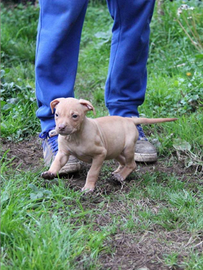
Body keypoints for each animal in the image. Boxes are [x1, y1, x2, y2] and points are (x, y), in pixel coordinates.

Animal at [40, 97, 176, 192]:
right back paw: (118, 172)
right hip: (114, 150)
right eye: (56, 115)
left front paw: (88, 188)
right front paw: (50, 173)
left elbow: (92, 172)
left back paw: (120, 176)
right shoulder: (63, 153)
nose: (61, 127)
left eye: (74, 116)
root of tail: (129, 119)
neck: (75, 136)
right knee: (123, 162)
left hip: (127, 149)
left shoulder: (100, 154)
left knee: (132, 164)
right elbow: (56, 163)